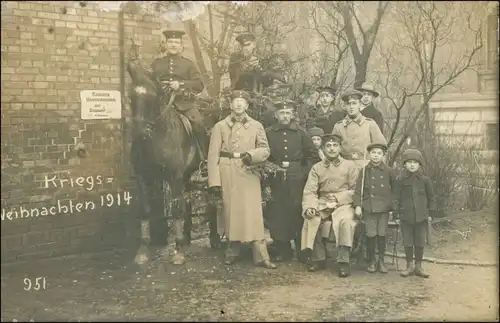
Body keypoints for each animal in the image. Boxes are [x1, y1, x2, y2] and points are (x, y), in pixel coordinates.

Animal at [127, 61, 219, 266]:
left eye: (151, 97)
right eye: (131, 97)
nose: (139, 132)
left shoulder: (174, 177)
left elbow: (176, 209)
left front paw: (178, 251)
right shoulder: (143, 178)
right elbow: (145, 210)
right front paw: (142, 251)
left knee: (211, 201)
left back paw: (214, 238)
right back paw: (187, 236)